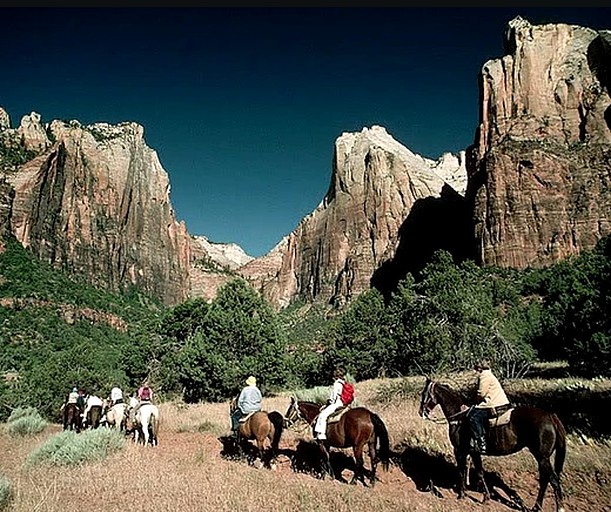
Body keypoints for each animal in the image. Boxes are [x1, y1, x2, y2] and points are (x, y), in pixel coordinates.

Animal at [418, 376, 568, 512]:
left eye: (424, 394)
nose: (421, 412)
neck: (459, 418)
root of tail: (551, 416)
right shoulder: (474, 453)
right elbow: (479, 473)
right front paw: (486, 497)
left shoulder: (460, 451)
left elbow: (462, 471)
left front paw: (462, 495)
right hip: (542, 458)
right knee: (545, 480)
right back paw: (536, 507)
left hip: (542, 457)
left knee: (553, 480)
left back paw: (558, 508)